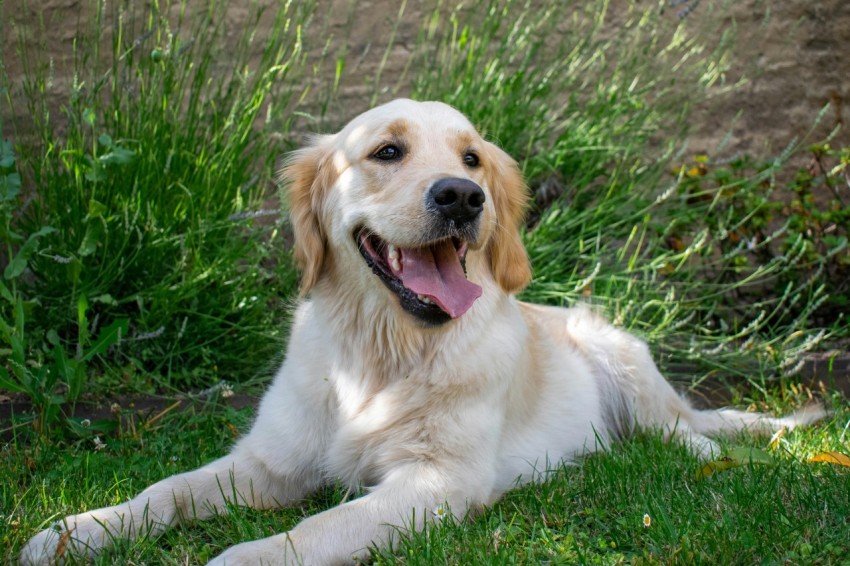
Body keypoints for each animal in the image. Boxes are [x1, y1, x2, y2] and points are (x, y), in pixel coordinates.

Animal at [23, 100, 824, 564]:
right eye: (387, 152)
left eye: (472, 160)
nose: (462, 197)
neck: (383, 352)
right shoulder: (268, 463)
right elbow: (166, 490)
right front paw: (79, 530)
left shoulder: (437, 482)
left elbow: (311, 531)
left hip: (620, 356)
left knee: (685, 432)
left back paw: (716, 457)